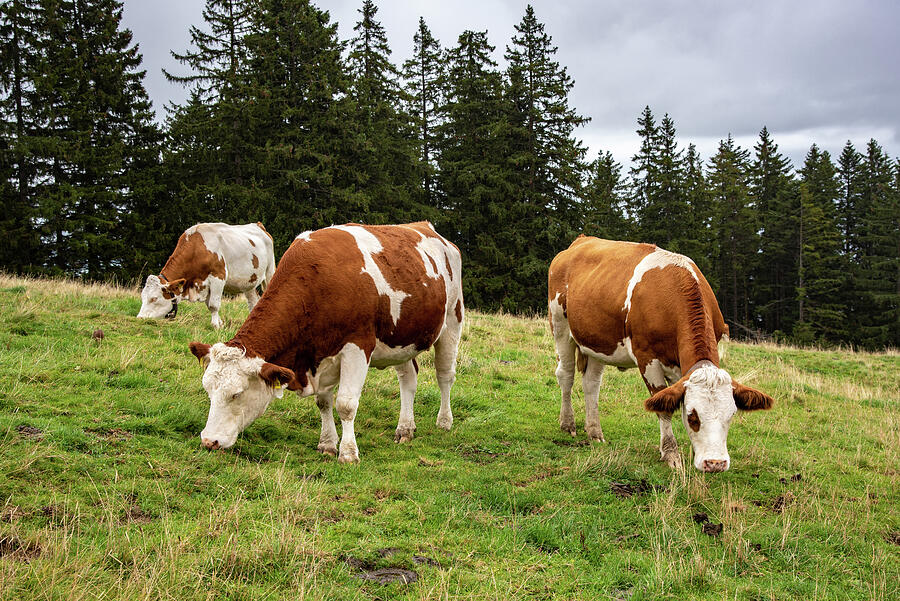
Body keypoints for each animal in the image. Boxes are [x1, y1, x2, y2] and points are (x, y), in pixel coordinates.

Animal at [137, 223, 274, 328]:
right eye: (142, 297)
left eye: (154, 298)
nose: (140, 318)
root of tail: (258, 225)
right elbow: (209, 305)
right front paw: (220, 323)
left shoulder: (218, 277)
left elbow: (213, 304)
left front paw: (216, 325)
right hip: (249, 281)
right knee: (253, 302)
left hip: (270, 272)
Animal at [185, 223, 464, 462]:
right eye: (208, 390)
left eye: (237, 394)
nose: (209, 441)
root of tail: (430, 229)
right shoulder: (319, 356)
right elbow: (323, 403)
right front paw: (327, 445)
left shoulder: (357, 346)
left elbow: (346, 404)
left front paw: (348, 453)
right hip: (402, 339)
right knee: (408, 378)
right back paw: (405, 428)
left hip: (452, 320)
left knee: (445, 376)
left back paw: (444, 421)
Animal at [548, 237, 772, 472]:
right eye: (693, 417)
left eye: (731, 415)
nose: (715, 463)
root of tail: (581, 240)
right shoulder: (647, 358)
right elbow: (663, 407)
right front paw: (671, 453)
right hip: (560, 325)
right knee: (566, 374)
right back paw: (568, 423)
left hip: (597, 342)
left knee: (591, 383)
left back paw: (594, 431)